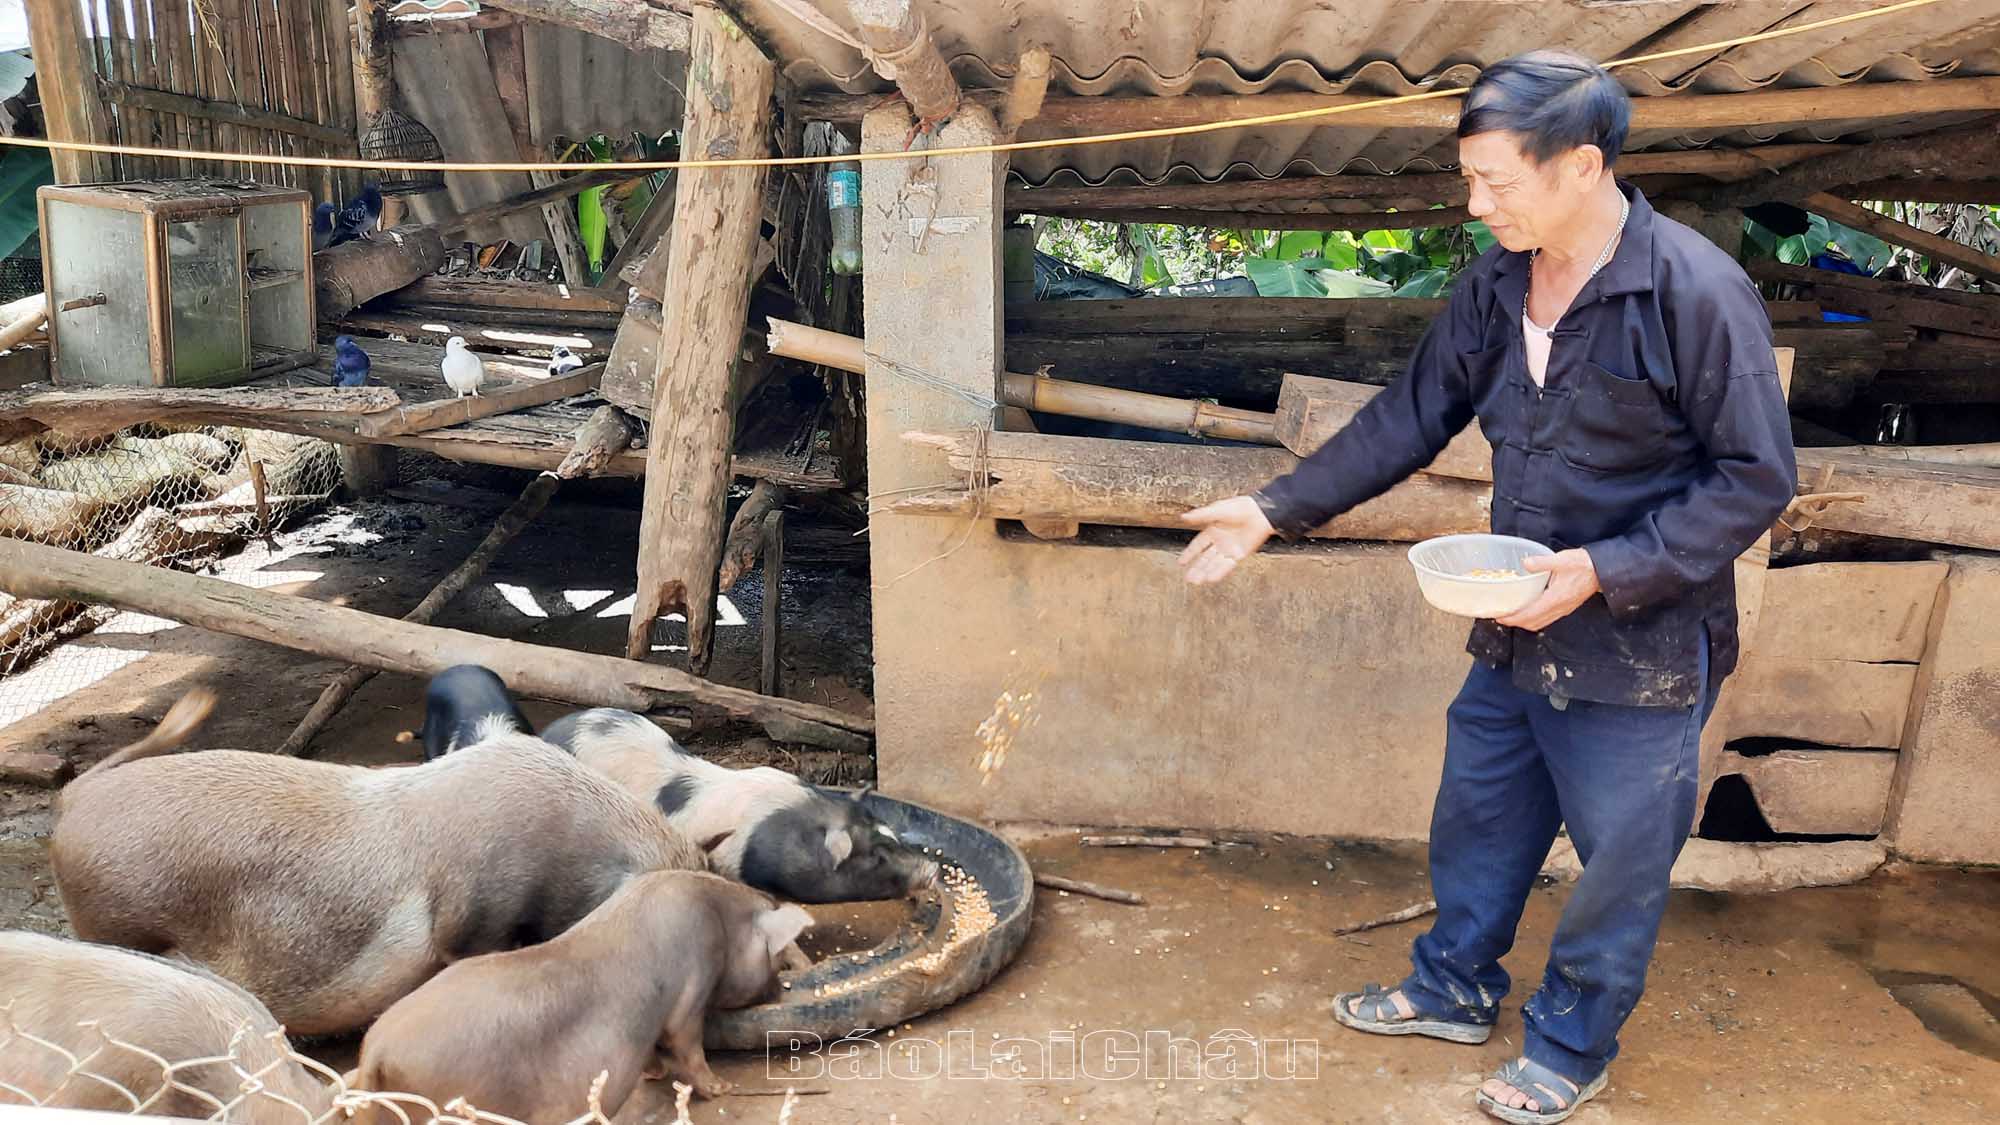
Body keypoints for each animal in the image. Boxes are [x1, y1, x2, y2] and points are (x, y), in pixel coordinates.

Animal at [348, 868, 808, 1112]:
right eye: (774, 957)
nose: (779, 992)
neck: (722, 920)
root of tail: (375, 1052)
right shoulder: (692, 987)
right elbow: (686, 1043)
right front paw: (720, 1090)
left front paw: (654, 1072)